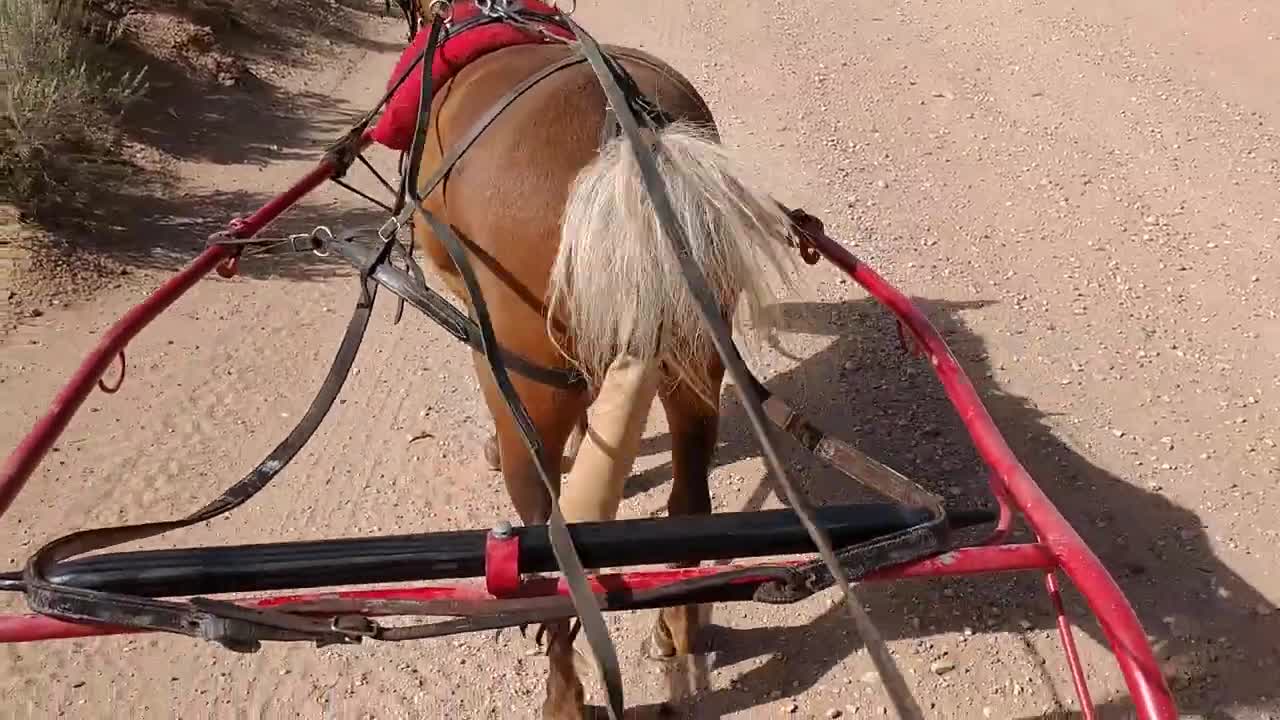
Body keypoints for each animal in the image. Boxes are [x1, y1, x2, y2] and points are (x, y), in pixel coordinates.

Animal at [399, 8, 798, 712]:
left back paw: (563, 697)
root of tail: (628, 138)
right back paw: (677, 631)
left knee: (543, 552)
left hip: (529, 390)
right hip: (695, 362)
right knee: (690, 503)